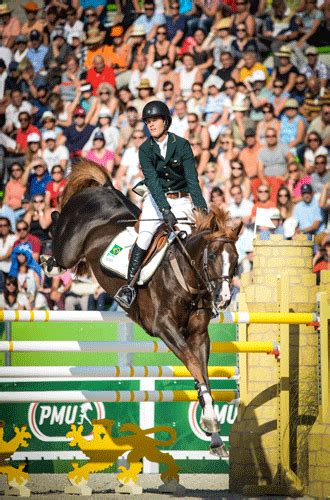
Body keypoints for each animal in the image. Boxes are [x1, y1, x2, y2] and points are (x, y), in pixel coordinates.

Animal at [52, 162, 242, 458]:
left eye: (235, 260)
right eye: (211, 256)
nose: (222, 299)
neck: (186, 277)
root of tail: (103, 189)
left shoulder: (200, 335)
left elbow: (203, 375)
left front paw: (215, 438)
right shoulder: (165, 328)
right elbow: (193, 364)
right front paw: (211, 422)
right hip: (68, 250)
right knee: (57, 243)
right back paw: (47, 246)